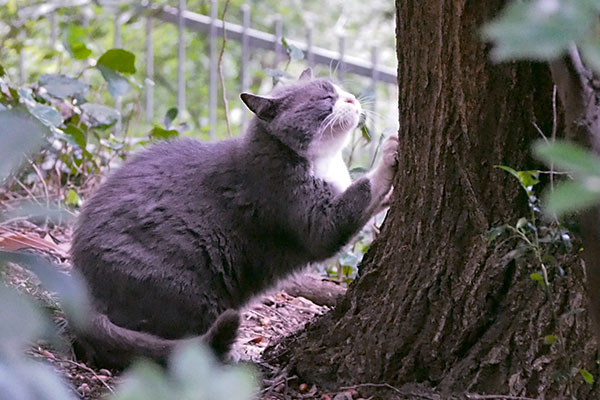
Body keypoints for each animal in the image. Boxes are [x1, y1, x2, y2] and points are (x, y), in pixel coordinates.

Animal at [71, 68, 398, 366]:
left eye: (340, 89)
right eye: (325, 98)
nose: (351, 98)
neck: (325, 162)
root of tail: (84, 292)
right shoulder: (297, 203)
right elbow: (350, 205)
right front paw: (390, 155)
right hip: (187, 289)